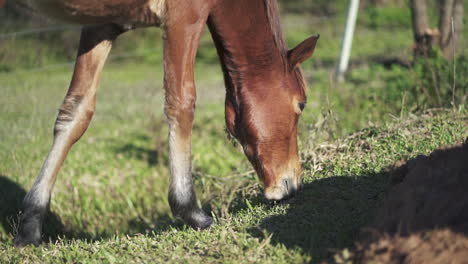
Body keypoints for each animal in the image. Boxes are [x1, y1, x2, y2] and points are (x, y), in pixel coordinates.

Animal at [10, 0, 318, 248]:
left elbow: (76, 112)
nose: (292, 184)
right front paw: (191, 210)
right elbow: (181, 103)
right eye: (302, 104)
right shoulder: (184, 16)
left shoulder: (101, 25)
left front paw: (31, 224)